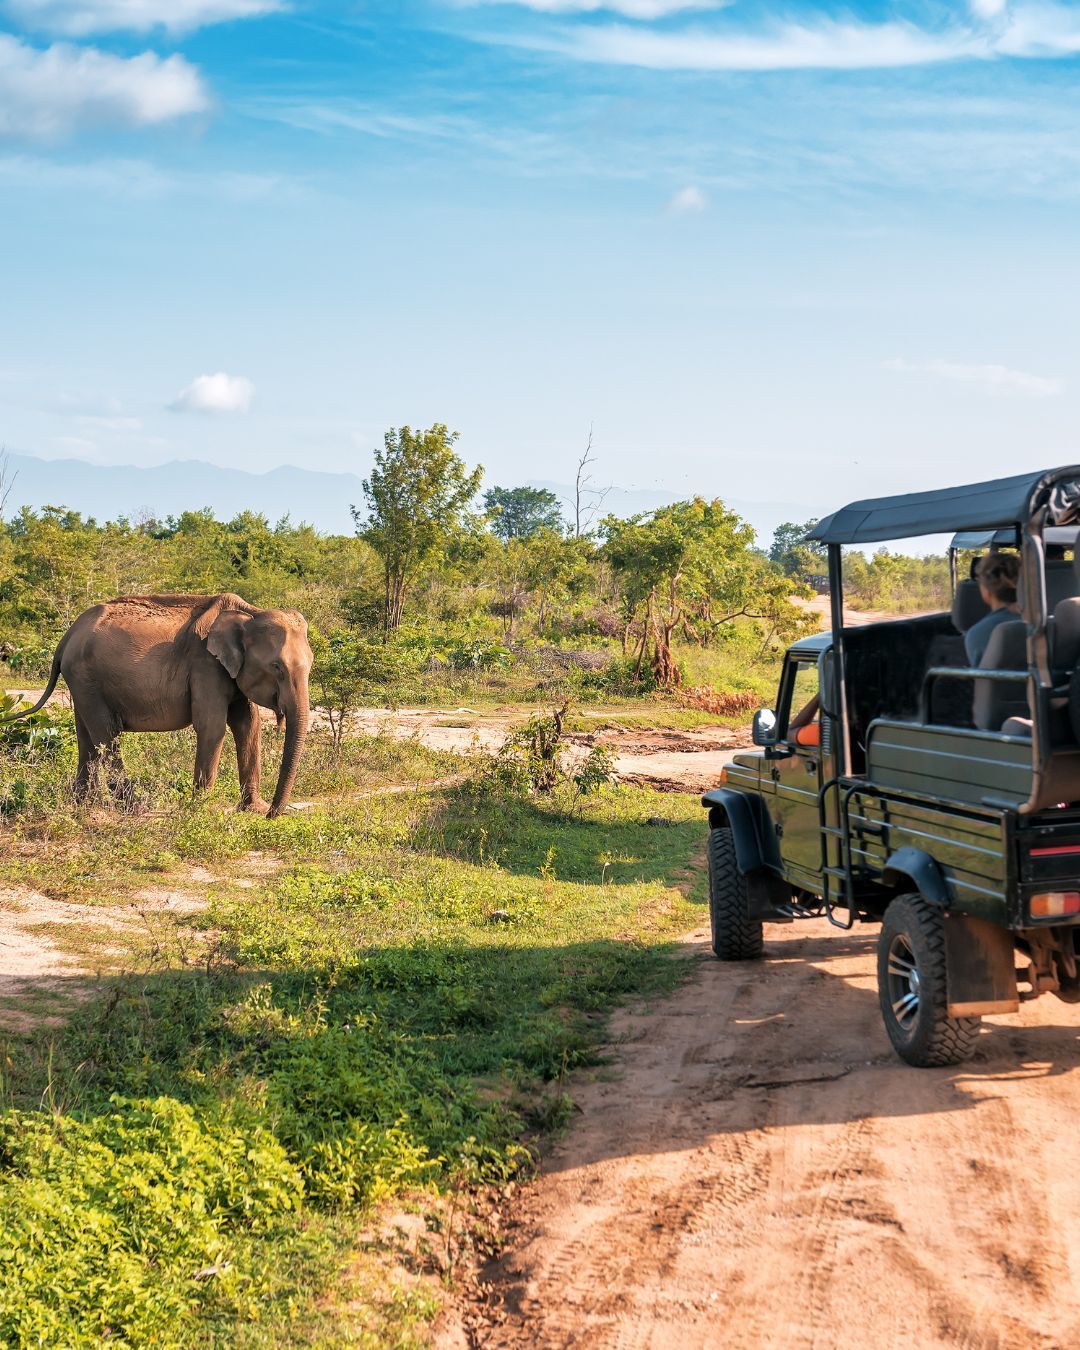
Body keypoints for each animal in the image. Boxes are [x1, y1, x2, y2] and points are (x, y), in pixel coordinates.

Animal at [4, 593, 312, 817]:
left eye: (310, 664)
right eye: (277, 667)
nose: (273, 814)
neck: (249, 612)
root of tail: (66, 636)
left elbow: (248, 725)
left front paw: (252, 809)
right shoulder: (205, 665)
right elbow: (212, 727)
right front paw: (200, 811)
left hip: (81, 682)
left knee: (86, 736)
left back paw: (83, 805)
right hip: (85, 677)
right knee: (106, 733)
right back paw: (133, 807)